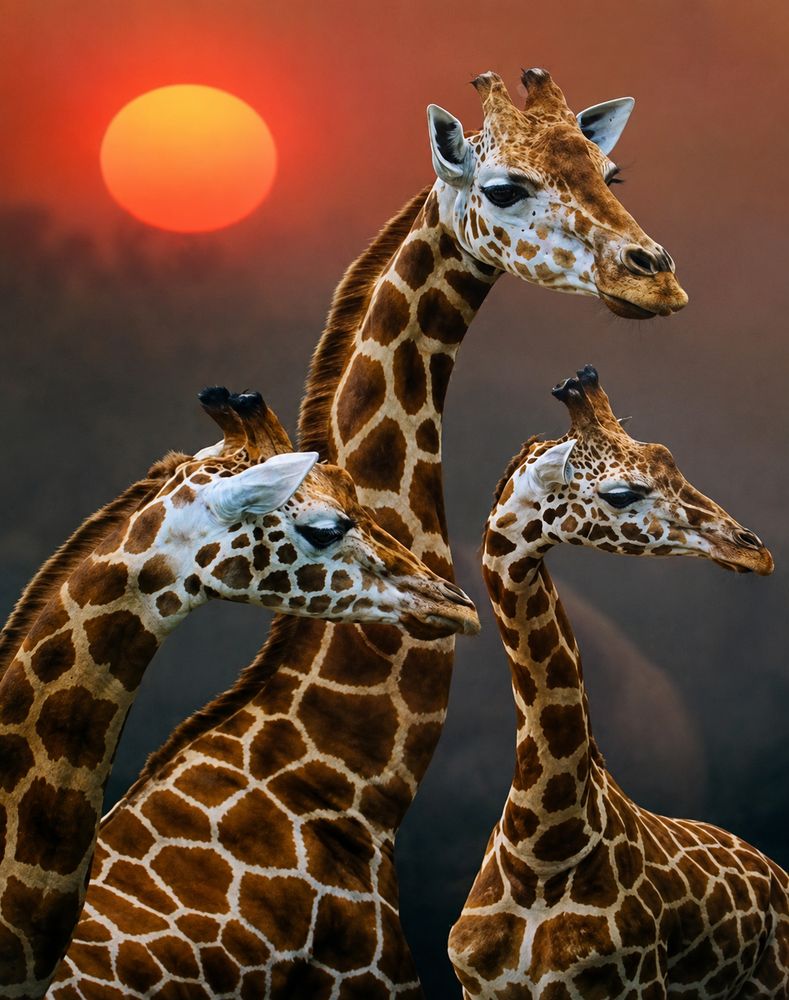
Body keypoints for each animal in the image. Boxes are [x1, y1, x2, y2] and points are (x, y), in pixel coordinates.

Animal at [448, 366, 787, 999]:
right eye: (622, 493)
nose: (754, 551)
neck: (543, 847)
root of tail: (773, 869)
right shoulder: (477, 986)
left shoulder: (629, 983)